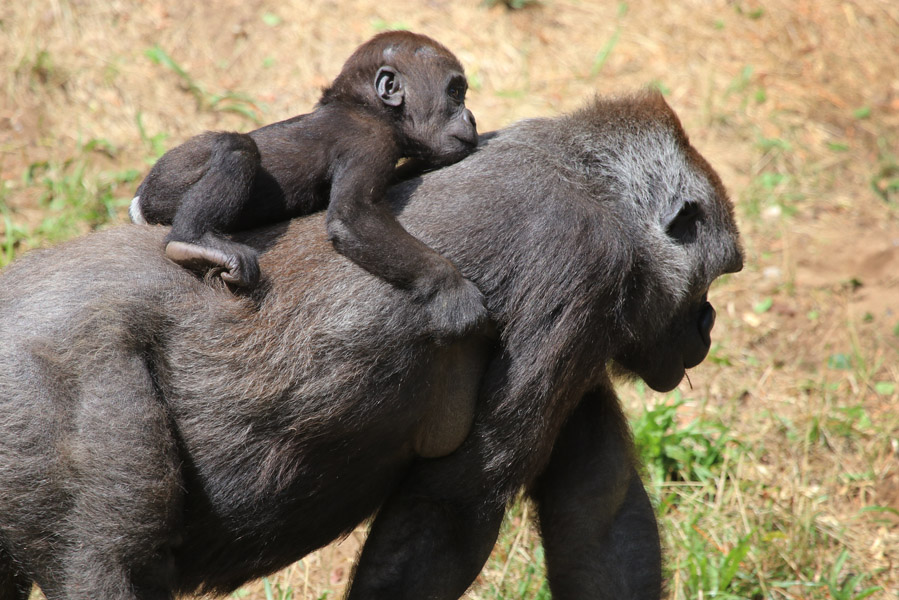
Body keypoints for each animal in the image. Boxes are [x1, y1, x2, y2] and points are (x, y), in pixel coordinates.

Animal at [0, 90, 740, 600]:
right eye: (718, 275)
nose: (707, 324)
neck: (591, 182)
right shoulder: (582, 267)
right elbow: (448, 511)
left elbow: (599, 510)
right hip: (49, 375)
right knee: (111, 561)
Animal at [130, 31, 486, 338]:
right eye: (455, 93)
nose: (471, 118)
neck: (367, 106)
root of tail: (138, 200)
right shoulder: (372, 140)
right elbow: (353, 216)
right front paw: (450, 288)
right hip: (169, 178)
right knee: (238, 148)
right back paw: (191, 239)